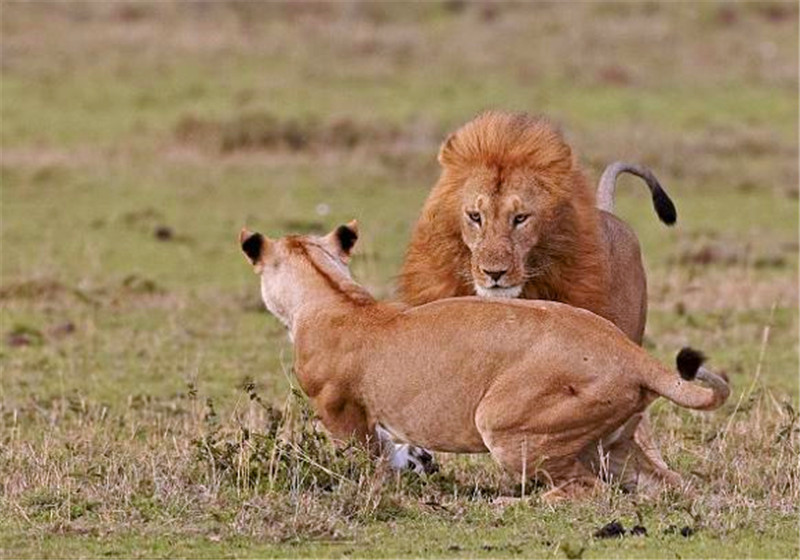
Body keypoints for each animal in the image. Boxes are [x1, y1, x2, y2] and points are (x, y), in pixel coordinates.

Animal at [241, 221, 728, 500]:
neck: (330, 293)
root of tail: (630, 352)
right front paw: (417, 462)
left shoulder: (340, 411)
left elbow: (374, 458)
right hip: (616, 444)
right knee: (670, 486)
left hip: (502, 422)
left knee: (588, 492)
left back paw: (515, 502)